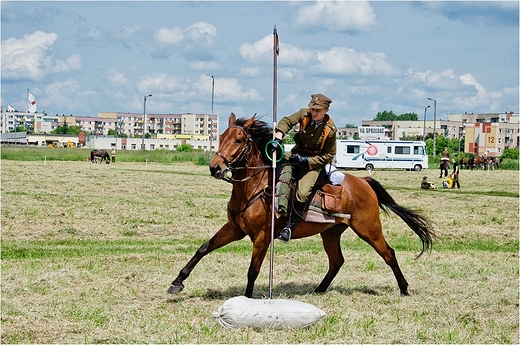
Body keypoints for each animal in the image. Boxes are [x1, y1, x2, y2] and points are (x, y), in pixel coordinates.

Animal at [167, 114, 434, 296]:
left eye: (239, 139)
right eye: (221, 137)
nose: (215, 167)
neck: (254, 188)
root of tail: (364, 182)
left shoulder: (262, 237)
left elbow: (253, 269)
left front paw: (246, 299)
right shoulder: (234, 229)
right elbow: (203, 248)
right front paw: (177, 282)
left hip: (369, 229)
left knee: (388, 253)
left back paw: (404, 288)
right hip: (331, 232)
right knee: (337, 261)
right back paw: (319, 289)